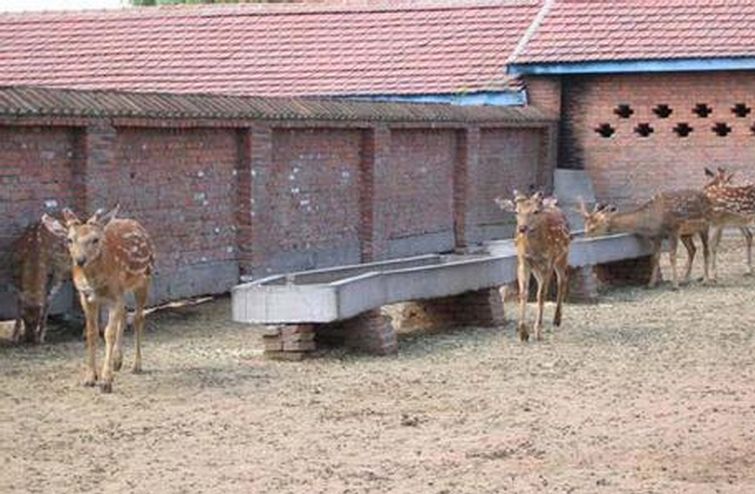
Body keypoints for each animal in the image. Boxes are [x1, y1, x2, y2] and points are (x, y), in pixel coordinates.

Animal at [42, 205, 154, 394]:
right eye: (69, 239)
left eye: (95, 239)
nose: (80, 260)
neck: (94, 281)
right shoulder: (85, 297)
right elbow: (92, 332)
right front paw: (90, 378)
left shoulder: (114, 295)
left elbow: (108, 333)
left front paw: (106, 381)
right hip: (123, 291)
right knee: (125, 313)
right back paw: (117, 361)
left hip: (144, 279)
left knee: (139, 317)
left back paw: (136, 365)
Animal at [494, 191, 568, 342]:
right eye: (516, 211)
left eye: (535, 211)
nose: (522, 228)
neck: (535, 251)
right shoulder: (523, 261)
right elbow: (523, 293)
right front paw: (523, 332)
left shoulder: (548, 262)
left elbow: (541, 294)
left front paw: (537, 331)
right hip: (537, 267)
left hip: (562, 256)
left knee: (562, 280)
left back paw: (557, 319)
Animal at [580, 189, 716, 290]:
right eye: (585, 225)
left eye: (593, 227)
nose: (584, 237)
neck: (652, 222)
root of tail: (709, 200)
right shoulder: (657, 236)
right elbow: (655, 257)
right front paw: (650, 284)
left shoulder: (673, 230)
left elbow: (672, 257)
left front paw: (674, 285)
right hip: (686, 234)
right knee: (692, 249)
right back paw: (685, 279)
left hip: (705, 225)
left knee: (706, 249)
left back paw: (705, 280)